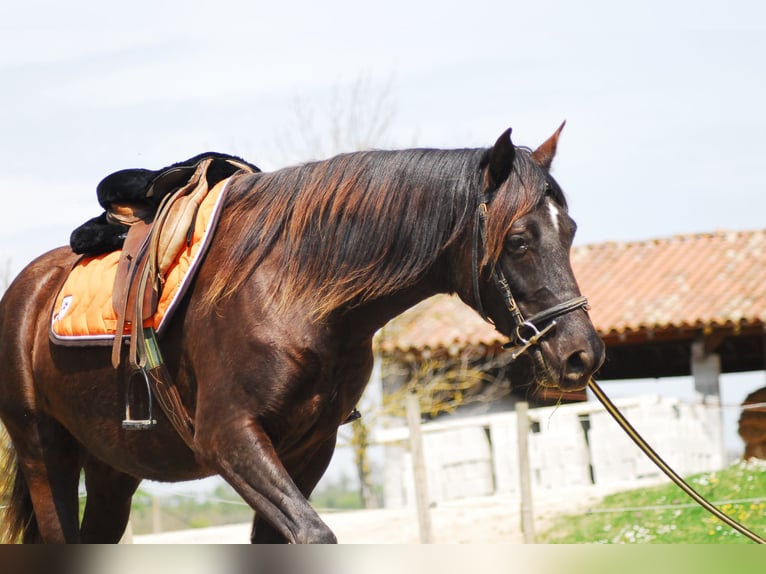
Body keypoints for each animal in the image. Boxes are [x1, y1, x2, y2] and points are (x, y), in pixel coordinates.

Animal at [0, 125, 608, 544]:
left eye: (571, 230)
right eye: (520, 240)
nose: (582, 353)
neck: (296, 292)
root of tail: (27, 291)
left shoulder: (310, 447)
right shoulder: (229, 437)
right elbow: (314, 533)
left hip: (111, 470)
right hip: (45, 455)